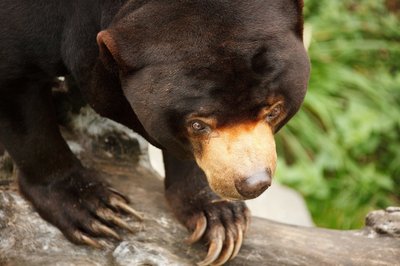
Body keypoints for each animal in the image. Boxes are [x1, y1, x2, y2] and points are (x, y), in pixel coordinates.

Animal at [0, 1, 310, 264]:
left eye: (273, 111)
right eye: (198, 124)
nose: (253, 184)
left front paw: (218, 218)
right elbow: (18, 90)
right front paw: (96, 208)